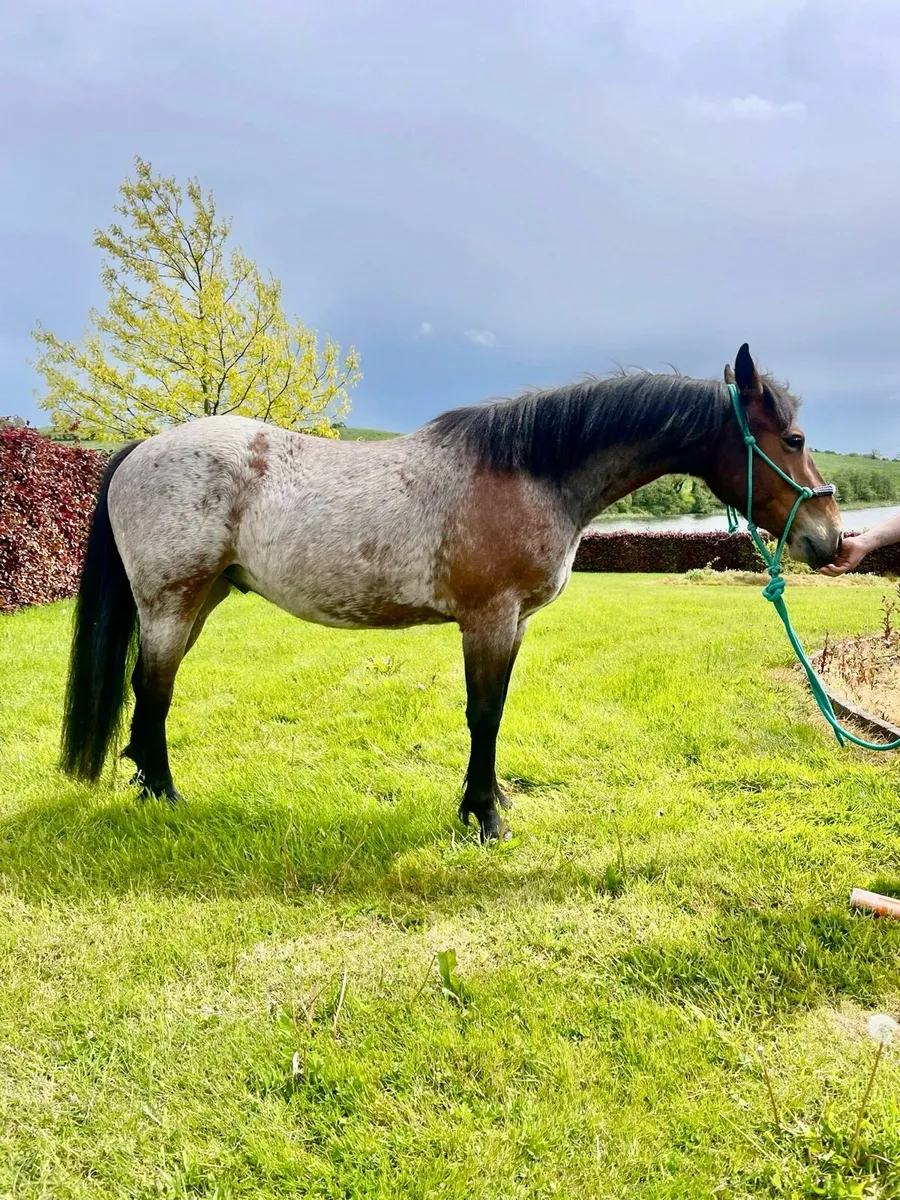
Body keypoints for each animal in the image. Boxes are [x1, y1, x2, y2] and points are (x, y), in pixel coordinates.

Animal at [60, 343, 842, 842]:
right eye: (794, 438)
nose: (830, 539)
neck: (529, 470)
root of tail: (140, 449)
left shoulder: (513, 624)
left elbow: (491, 715)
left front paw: (487, 805)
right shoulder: (488, 620)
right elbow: (484, 716)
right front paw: (485, 819)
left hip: (200, 600)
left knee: (148, 691)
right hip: (172, 602)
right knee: (152, 689)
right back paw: (164, 797)